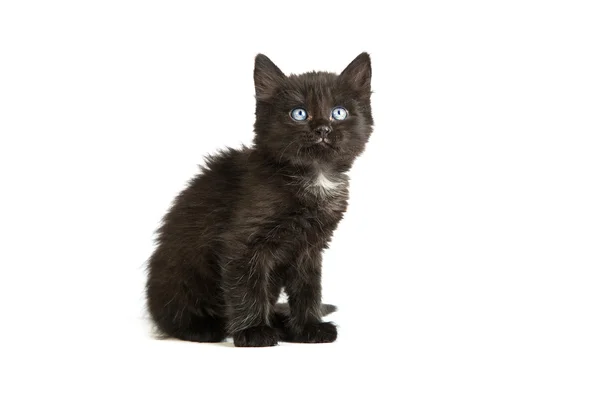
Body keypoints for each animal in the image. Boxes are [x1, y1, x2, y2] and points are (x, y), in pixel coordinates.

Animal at [145, 53, 372, 346]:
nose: (322, 129)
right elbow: (248, 288)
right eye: (299, 113)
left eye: (338, 112)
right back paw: (206, 327)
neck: (314, 176)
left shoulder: (310, 248)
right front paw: (253, 331)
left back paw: (280, 322)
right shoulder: (242, 243)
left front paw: (308, 327)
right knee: (176, 317)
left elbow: (308, 289)